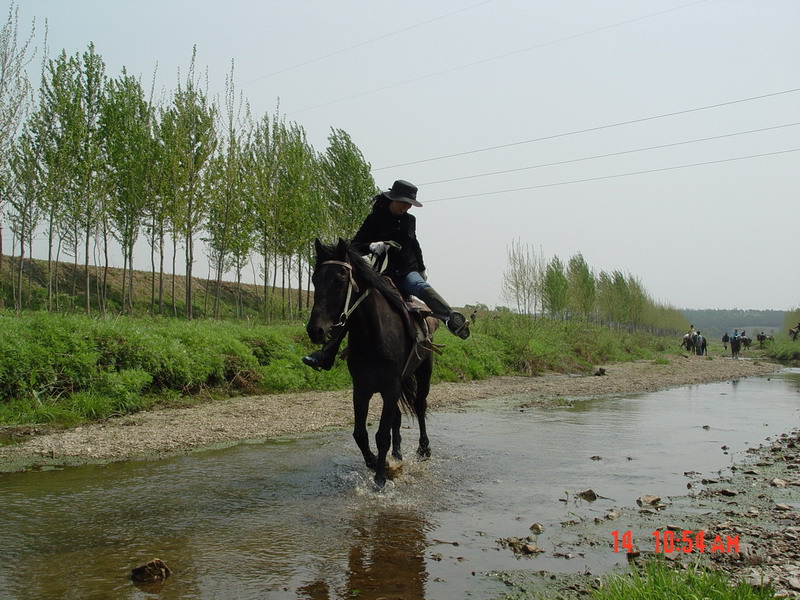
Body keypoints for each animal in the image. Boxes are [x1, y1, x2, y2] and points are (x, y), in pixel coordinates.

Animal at [306, 239, 438, 488]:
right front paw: (378, 463)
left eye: (341, 279)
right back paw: (397, 454)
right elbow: (360, 433)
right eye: (315, 279)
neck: (373, 337)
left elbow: (381, 435)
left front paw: (380, 477)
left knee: (419, 405)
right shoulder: (361, 389)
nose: (315, 330)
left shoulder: (390, 387)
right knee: (397, 416)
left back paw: (424, 449)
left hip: (423, 371)